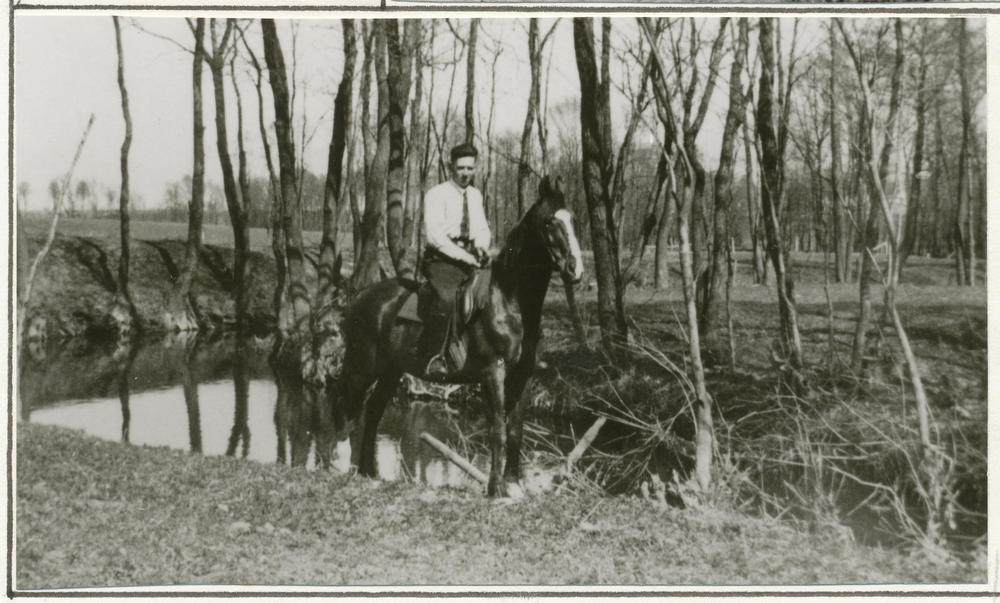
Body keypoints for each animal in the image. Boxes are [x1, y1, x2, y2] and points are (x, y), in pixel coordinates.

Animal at [336, 177, 584, 498]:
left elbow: (515, 431)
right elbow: (497, 430)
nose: (575, 270)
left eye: (574, 220)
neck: (508, 300)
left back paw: (368, 471)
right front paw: (496, 488)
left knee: (374, 411)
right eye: (549, 222)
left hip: (391, 371)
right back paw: (343, 465)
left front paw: (513, 484)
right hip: (363, 367)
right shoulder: (492, 372)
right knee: (349, 409)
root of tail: (360, 297)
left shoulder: (523, 374)